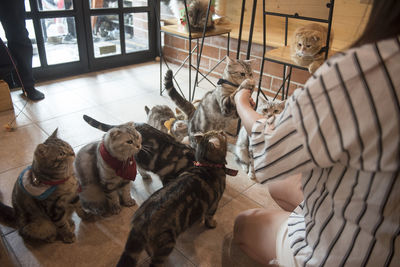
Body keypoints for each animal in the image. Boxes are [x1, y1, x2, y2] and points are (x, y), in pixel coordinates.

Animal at [115, 131, 234, 266]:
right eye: (220, 134)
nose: (223, 132)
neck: (206, 165)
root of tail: (139, 223)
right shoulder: (214, 203)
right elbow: (210, 216)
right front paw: (211, 224)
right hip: (167, 243)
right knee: (155, 262)